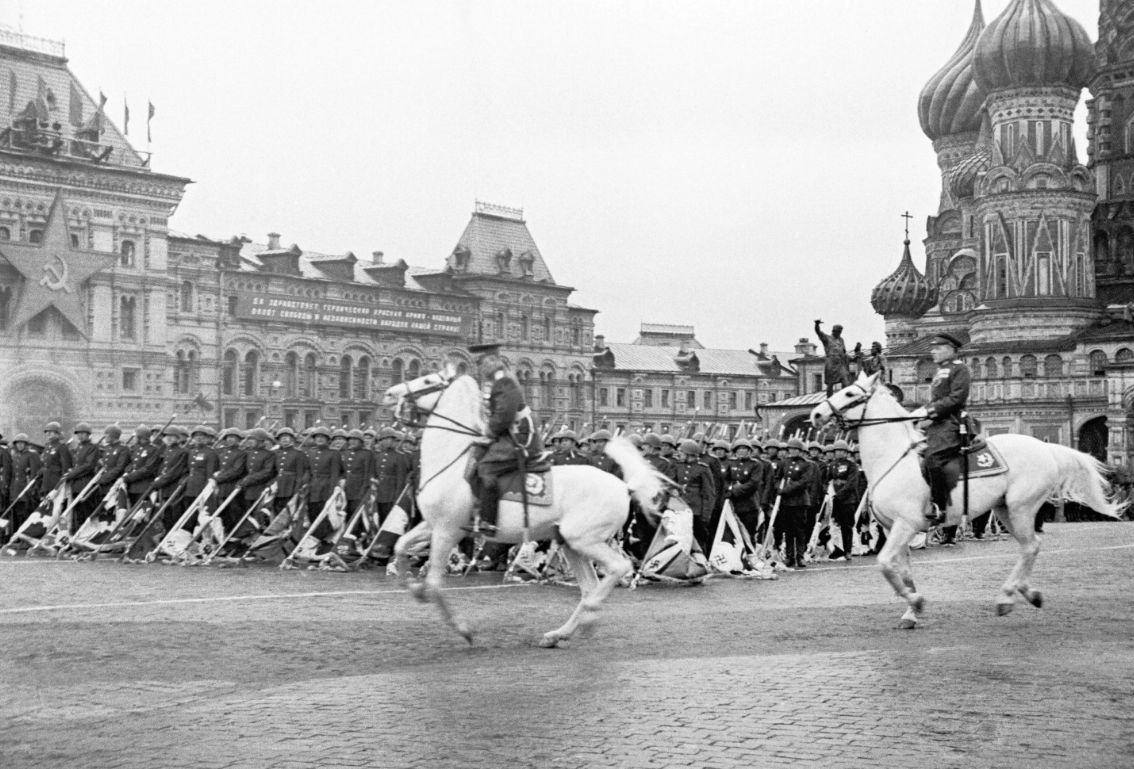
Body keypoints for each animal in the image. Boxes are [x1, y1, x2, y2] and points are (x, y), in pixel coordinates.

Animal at [383, 367, 662, 648]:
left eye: (428, 380)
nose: (390, 394)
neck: (452, 463)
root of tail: (624, 486)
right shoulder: (433, 525)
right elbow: (401, 546)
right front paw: (412, 587)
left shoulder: (447, 531)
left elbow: (434, 584)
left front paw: (462, 628)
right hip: (571, 544)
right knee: (589, 586)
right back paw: (559, 633)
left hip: (584, 540)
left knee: (618, 568)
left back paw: (590, 616)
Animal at [811, 374, 1120, 630]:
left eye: (851, 393)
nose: (816, 413)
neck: (893, 459)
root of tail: (1044, 446)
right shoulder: (892, 528)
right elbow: (903, 570)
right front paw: (911, 611)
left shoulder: (905, 525)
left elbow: (885, 564)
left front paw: (916, 602)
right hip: (1005, 510)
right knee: (1029, 546)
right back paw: (1026, 593)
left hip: (1021, 508)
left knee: (1031, 547)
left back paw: (1007, 598)